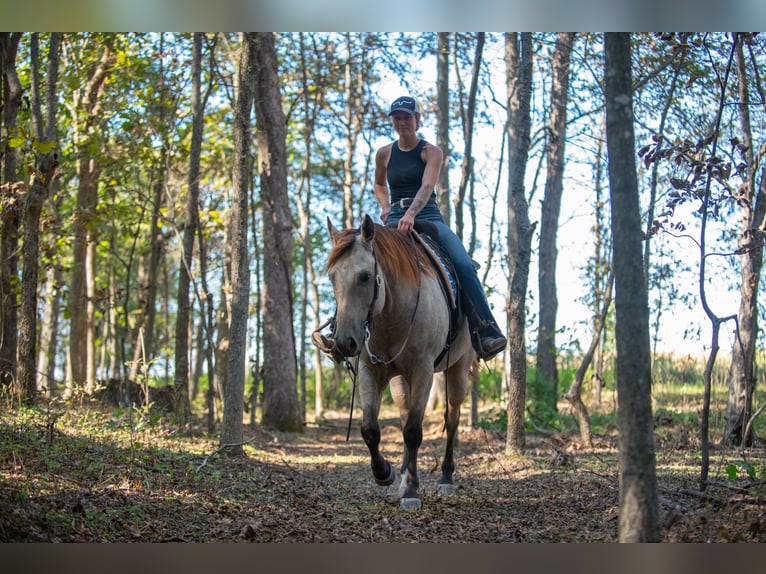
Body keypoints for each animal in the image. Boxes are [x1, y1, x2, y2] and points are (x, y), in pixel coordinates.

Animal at [321, 214, 475, 509]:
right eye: (332, 277)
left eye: (365, 276)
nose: (344, 343)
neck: (391, 314)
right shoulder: (370, 371)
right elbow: (370, 429)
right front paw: (385, 473)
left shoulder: (423, 371)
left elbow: (414, 431)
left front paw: (412, 491)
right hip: (400, 380)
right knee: (406, 416)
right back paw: (403, 472)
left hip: (458, 370)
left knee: (452, 418)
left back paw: (446, 477)